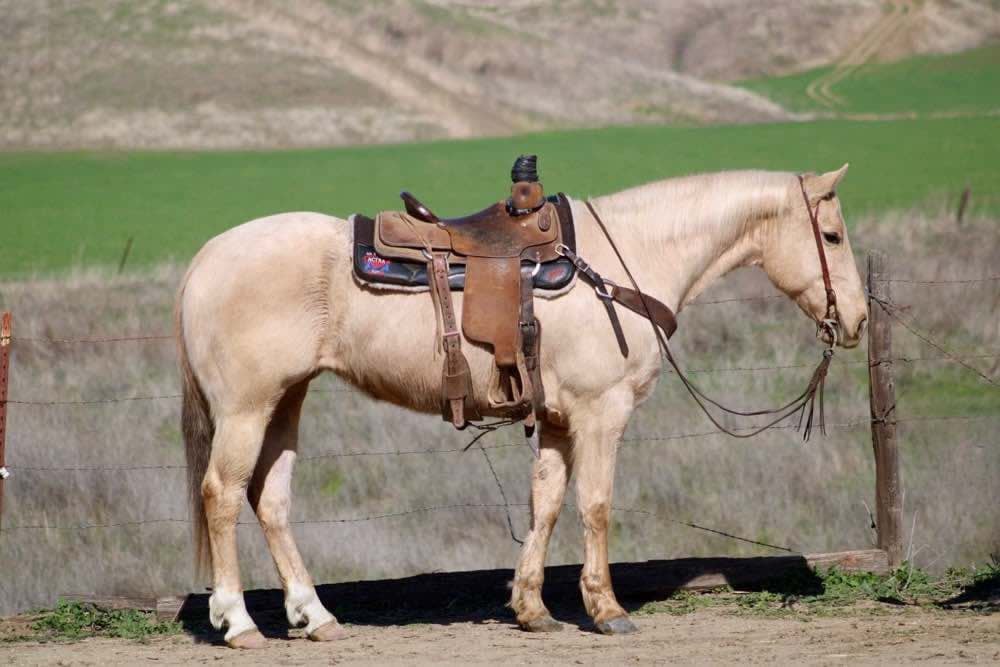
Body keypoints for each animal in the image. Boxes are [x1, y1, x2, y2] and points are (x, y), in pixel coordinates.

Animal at [176, 165, 867, 648]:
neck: (625, 261)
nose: (857, 320)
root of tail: (206, 257)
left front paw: (533, 611)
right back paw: (238, 621)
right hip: (245, 409)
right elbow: (595, 507)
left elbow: (547, 505)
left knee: (271, 500)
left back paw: (315, 616)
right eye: (831, 235)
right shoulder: (600, 415)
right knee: (222, 494)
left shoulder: (558, 422)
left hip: (285, 400)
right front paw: (607, 611)